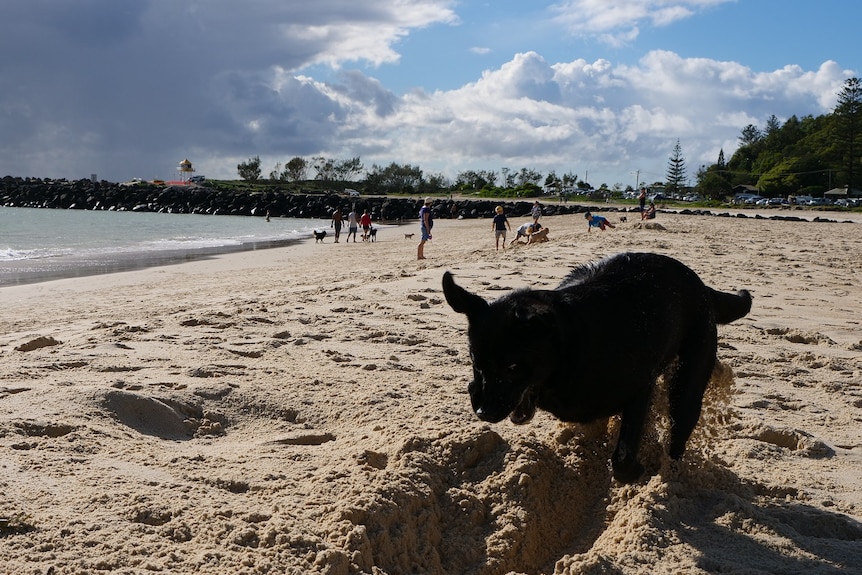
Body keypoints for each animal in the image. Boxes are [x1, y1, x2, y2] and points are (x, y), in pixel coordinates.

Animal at [442, 254, 752, 484]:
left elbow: (623, 455)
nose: (485, 413)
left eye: (513, 367)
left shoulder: (640, 389)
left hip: (688, 383)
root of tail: (703, 288)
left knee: (679, 429)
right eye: (476, 363)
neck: (569, 349)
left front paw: (635, 471)